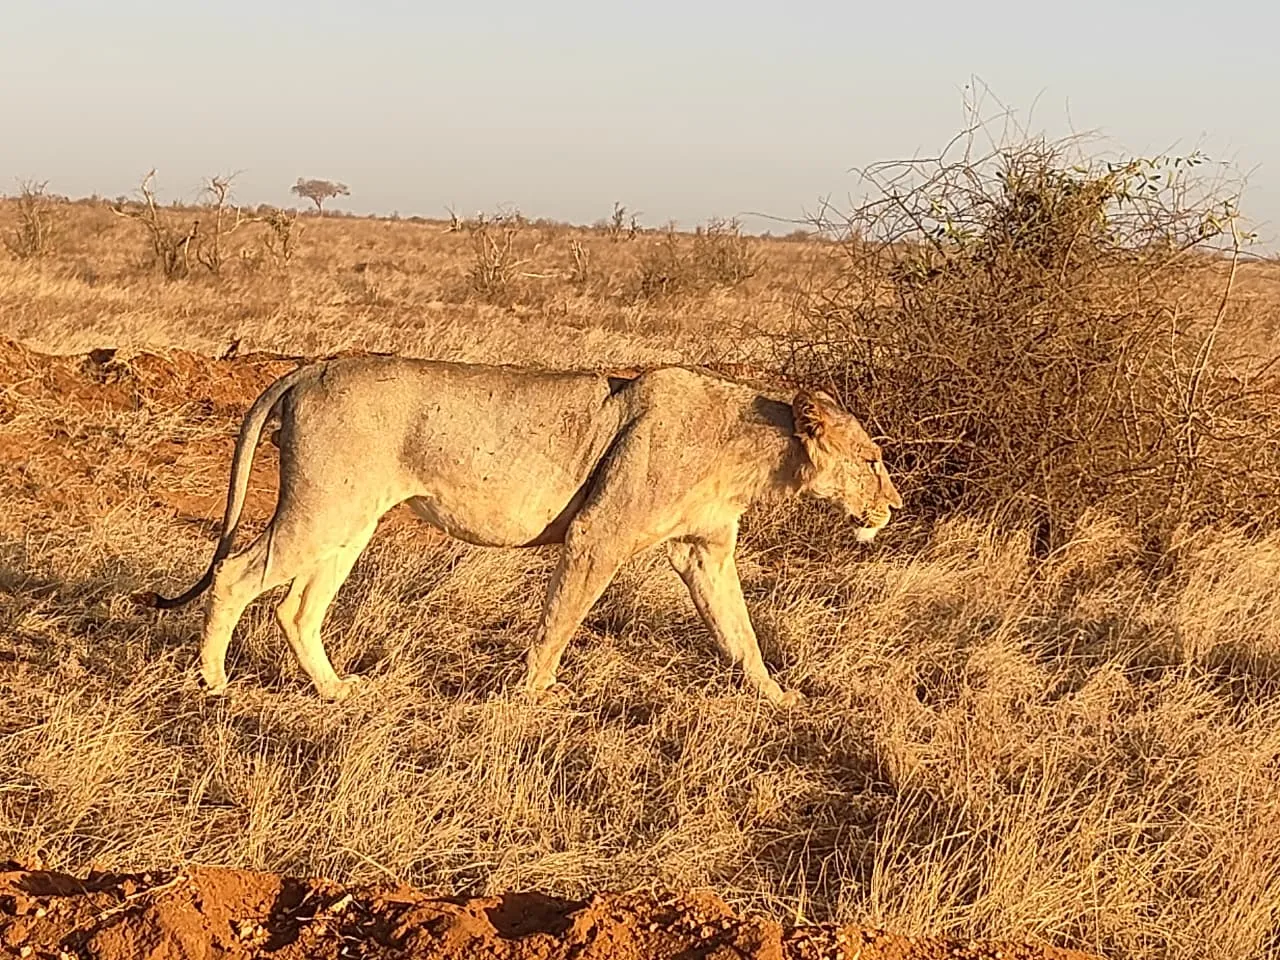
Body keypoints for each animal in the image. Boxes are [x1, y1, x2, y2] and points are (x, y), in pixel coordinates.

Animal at [135, 355, 902, 706]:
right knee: (235, 573)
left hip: (350, 522)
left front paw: (776, 697)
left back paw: (335, 692)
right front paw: (533, 697)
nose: (893, 506)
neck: (755, 450)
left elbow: (740, 632)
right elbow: (559, 622)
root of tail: (309, 367)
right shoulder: (598, 536)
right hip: (324, 508)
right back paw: (214, 685)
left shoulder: (703, 552)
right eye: (871, 460)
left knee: (297, 607)